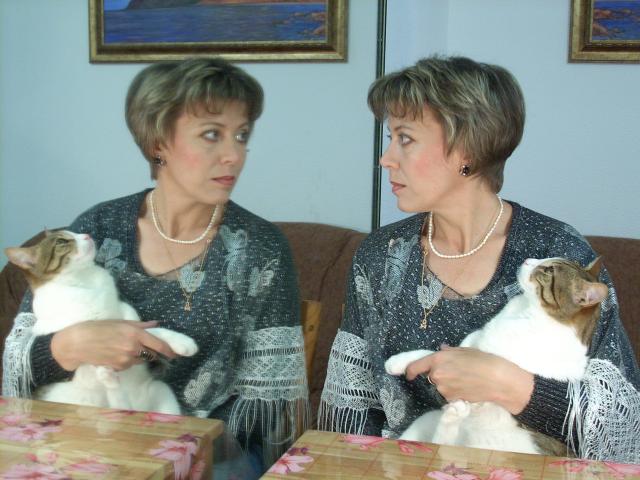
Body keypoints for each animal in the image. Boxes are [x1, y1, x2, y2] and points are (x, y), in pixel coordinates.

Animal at [5, 229, 198, 414]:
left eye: (74, 233)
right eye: (61, 241)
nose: (87, 235)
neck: (85, 280)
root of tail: (139, 408)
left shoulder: (121, 312)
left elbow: (141, 325)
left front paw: (182, 342)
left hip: (161, 391)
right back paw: (109, 379)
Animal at [385, 256, 608, 455]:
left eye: (549, 270)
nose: (527, 260)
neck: (523, 312)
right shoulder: (469, 346)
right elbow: (430, 353)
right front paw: (397, 362)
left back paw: (455, 413)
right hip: (426, 421)